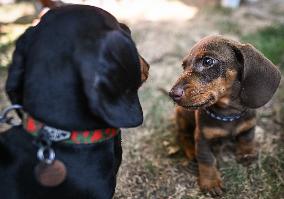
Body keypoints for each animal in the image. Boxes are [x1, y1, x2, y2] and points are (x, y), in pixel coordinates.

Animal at [170, 35, 280, 196]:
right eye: (184, 66)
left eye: (207, 61)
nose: (172, 94)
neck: (228, 114)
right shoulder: (202, 138)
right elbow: (206, 159)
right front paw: (210, 182)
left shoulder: (249, 125)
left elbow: (247, 138)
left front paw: (247, 153)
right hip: (182, 117)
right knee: (182, 136)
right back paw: (191, 151)